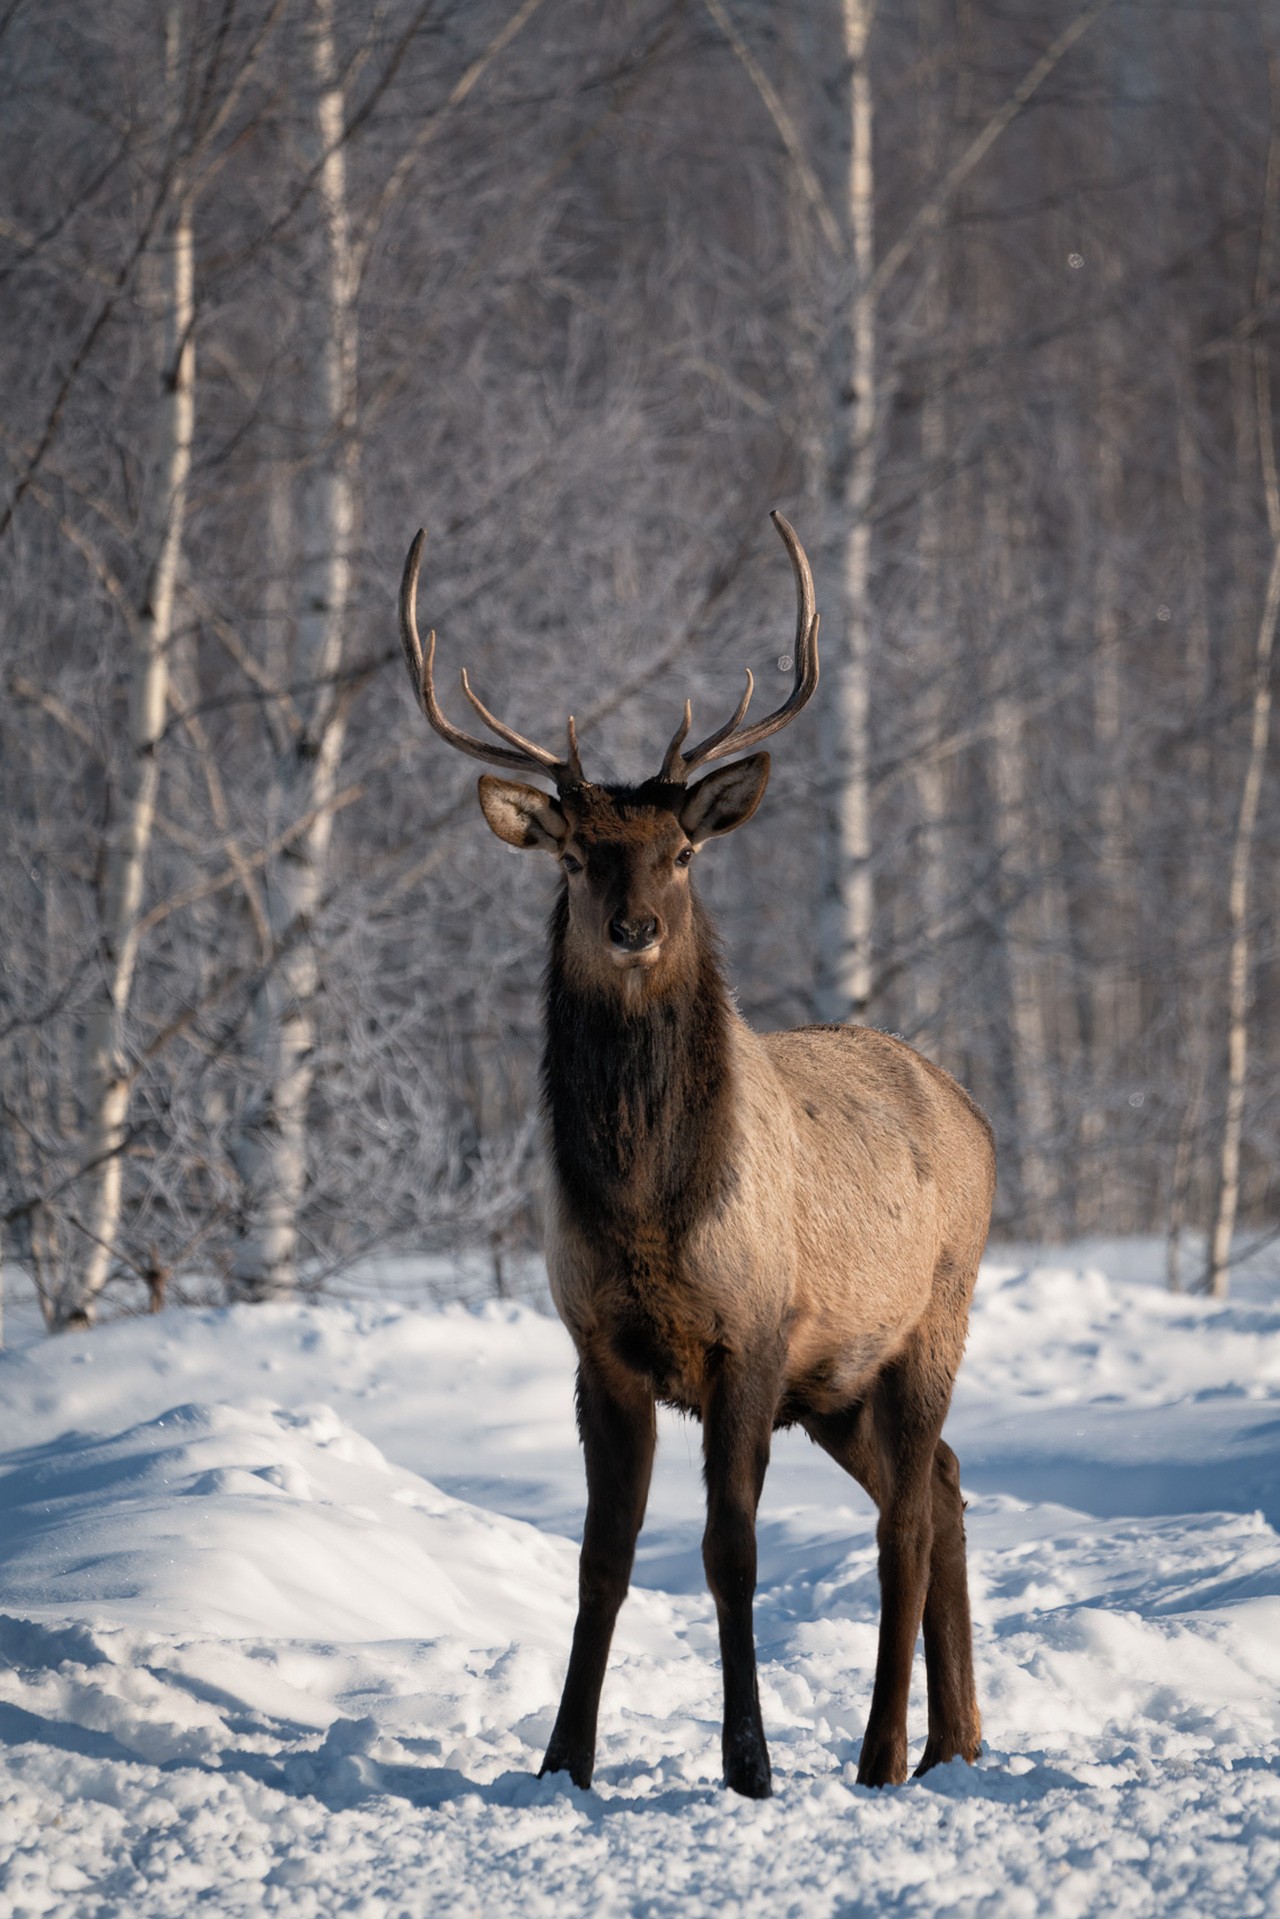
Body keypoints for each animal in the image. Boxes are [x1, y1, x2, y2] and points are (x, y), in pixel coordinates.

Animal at [395, 514, 997, 1796]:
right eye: (574, 854)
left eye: (679, 850)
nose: (633, 928)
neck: (646, 1207)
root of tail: (970, 1110)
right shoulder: (598, 1347)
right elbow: (603, 1555)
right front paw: (562, 1760)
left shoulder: (754, 1332)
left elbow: (730, 1548)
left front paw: (749, 1764)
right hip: (840, 1379)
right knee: (944, 1483)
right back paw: (954, 1740)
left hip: (930, 1316)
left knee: (906, 1518)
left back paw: (881, 1751)